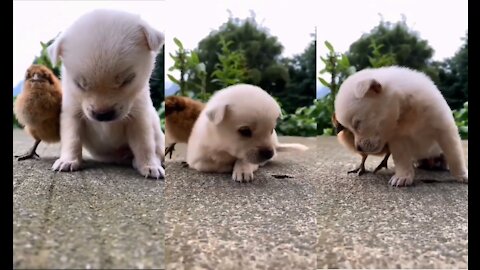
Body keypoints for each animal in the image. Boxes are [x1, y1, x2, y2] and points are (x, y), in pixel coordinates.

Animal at [47, 8, 165, 179]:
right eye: (79, 84)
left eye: (127, 80)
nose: (102, 115)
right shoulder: (71, 113)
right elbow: (72, 138)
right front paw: (68, 160)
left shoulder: (139, 117)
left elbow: (144, 144)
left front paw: (149, 165)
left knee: (157, 150)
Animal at [336, 66, 466, 187]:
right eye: (348, 129)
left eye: (357, 123)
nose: (358, 149)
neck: (405, 114)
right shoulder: (398, 140)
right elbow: (401, 159)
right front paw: (402, 177)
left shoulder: (444, 129)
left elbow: (454, 154)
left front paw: (462, 175)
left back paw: (442, 163)